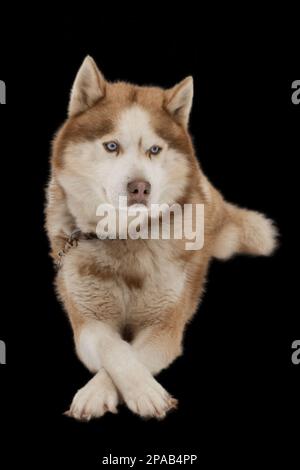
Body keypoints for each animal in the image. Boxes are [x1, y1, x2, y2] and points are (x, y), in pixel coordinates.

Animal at [44, 57, 276, 420]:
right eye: (112, 146)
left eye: (154, 149)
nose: (140, 188)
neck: (126, 238)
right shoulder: (87, 321)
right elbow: (116, 348)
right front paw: (96, 394)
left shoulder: (165, 327)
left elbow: (135, 354)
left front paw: (144, 394)